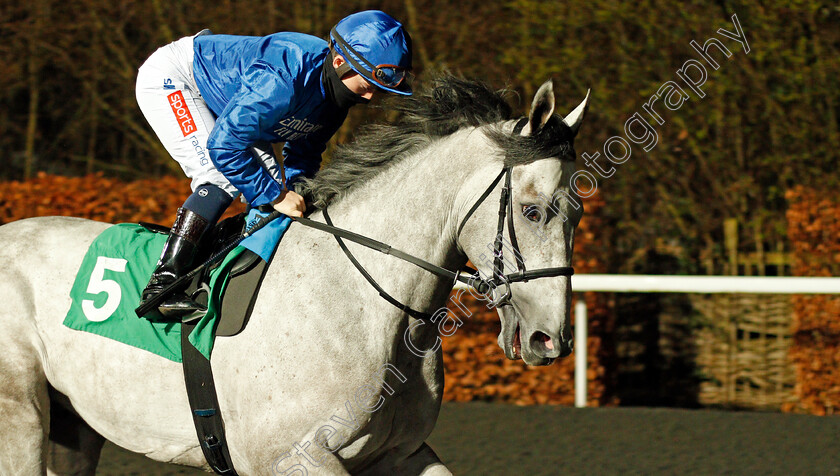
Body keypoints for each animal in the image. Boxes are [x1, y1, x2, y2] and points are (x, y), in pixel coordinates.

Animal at [0, 76, 592, 474]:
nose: (550, 338)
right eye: (533, 211)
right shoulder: (288, 455)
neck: (360, 303)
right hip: (21, 417)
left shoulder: (399, 452)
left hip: (74, 429)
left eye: (579, 211)